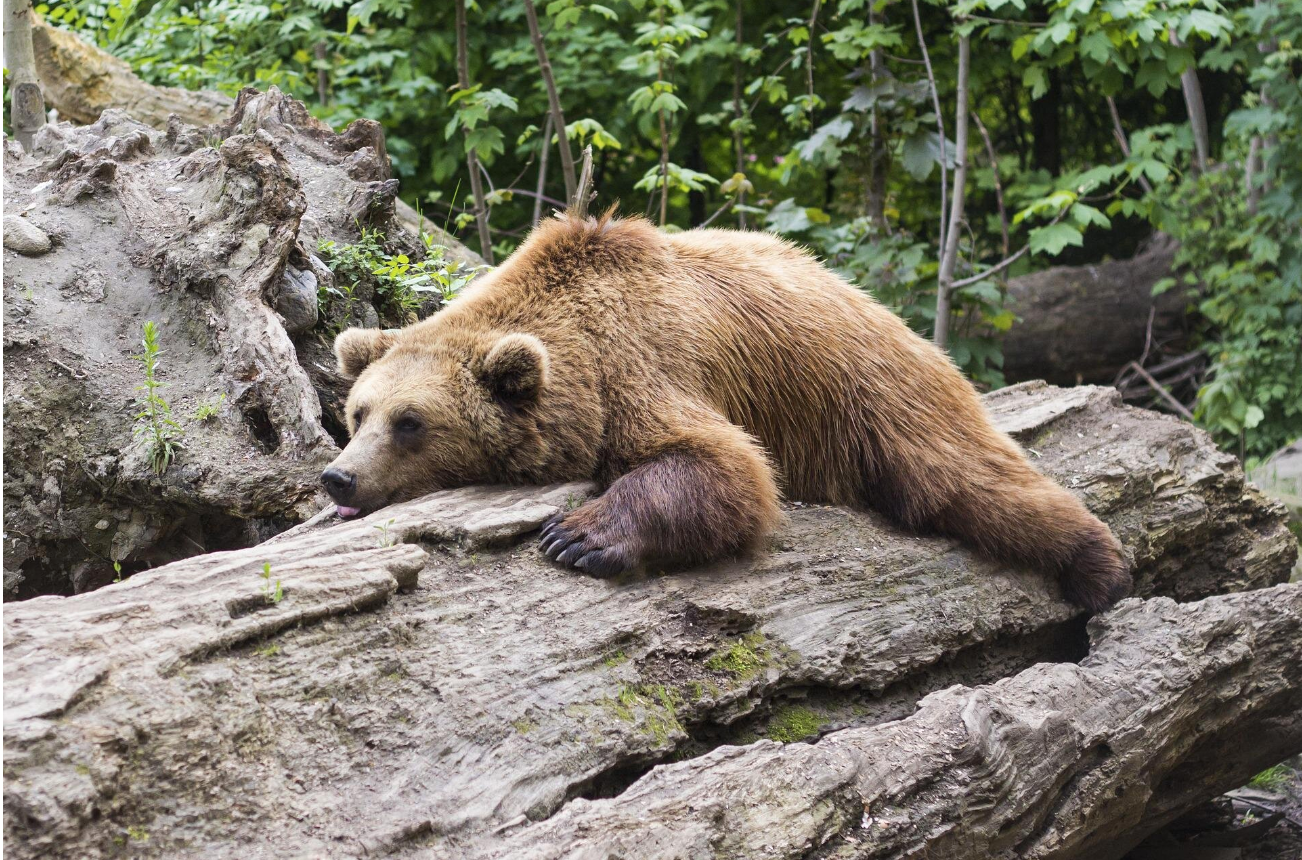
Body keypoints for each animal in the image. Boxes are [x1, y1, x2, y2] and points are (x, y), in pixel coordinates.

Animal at [323, 212, 1131, 611]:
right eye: (358, 414)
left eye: (411, 422)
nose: (339, 478)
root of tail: (873, 302)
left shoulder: (644, 367)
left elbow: (724, 465)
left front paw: (577, 537)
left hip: (872, 392)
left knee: (965, 479)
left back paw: (1100, 565)